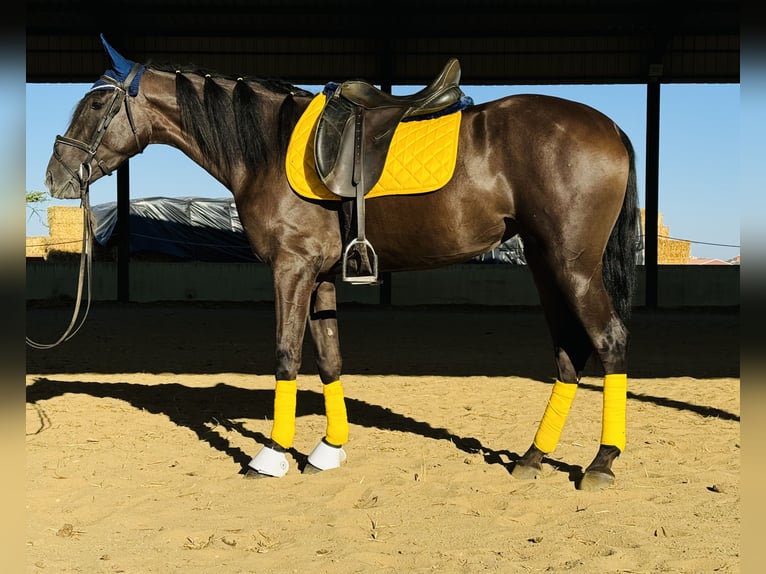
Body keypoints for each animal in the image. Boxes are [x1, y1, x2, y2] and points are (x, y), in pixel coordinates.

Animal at [43, 36, 640, 492]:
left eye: (95, 104)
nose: (57, 175)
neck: (268, 147)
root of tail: (611, 128)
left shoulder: (291, 269)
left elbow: (285, 357)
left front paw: (271, 456)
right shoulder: (322, 276)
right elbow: (329, 359)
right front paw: (329, 449)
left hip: (572, 266)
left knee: (609, 341)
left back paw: (600, 464)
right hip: (545, 265)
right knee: (569, 353)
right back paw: (532, 458)